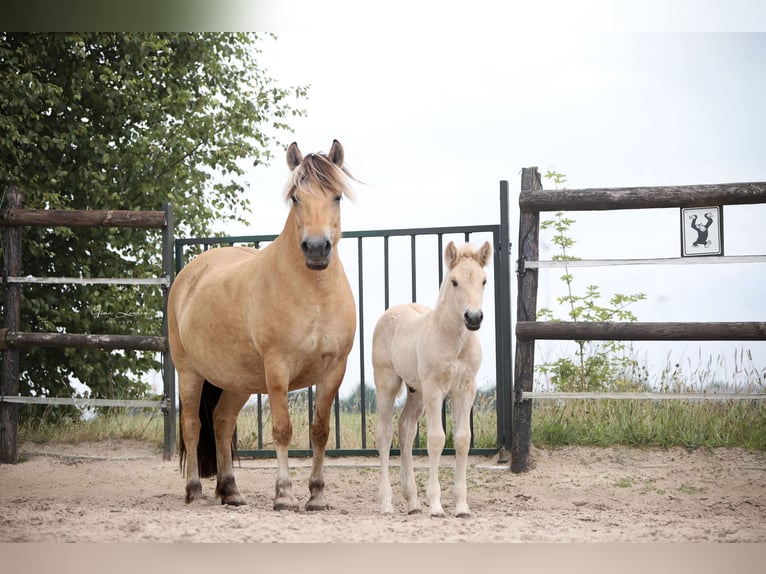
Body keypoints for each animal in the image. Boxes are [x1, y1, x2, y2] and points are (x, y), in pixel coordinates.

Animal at [167, 140, 357, 510]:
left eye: (337, 196)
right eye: (296, 197)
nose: (316, 249)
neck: (314, 294)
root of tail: (190, 273)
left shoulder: (334, 370)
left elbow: (320, 431)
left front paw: (316, 495)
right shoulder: (278, 368)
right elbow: (283, 430)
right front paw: (284, 495)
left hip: (237, 381)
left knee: (221, 421)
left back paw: (230, 490)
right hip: (189, 372)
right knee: (193, 425)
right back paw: (194, 490)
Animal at [372, 240, 492, 518]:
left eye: (484, 280)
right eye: (455, 281)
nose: (473, 318)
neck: (454, 339)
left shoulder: (465, 388)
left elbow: (462, 439)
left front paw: (461, 507)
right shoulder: (435, 388)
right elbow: (437, 439)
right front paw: (436, 506)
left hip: (416, 391)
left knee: (406, 429)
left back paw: (413, 502)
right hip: (388, 384)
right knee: (385, 434)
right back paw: (387, 503)